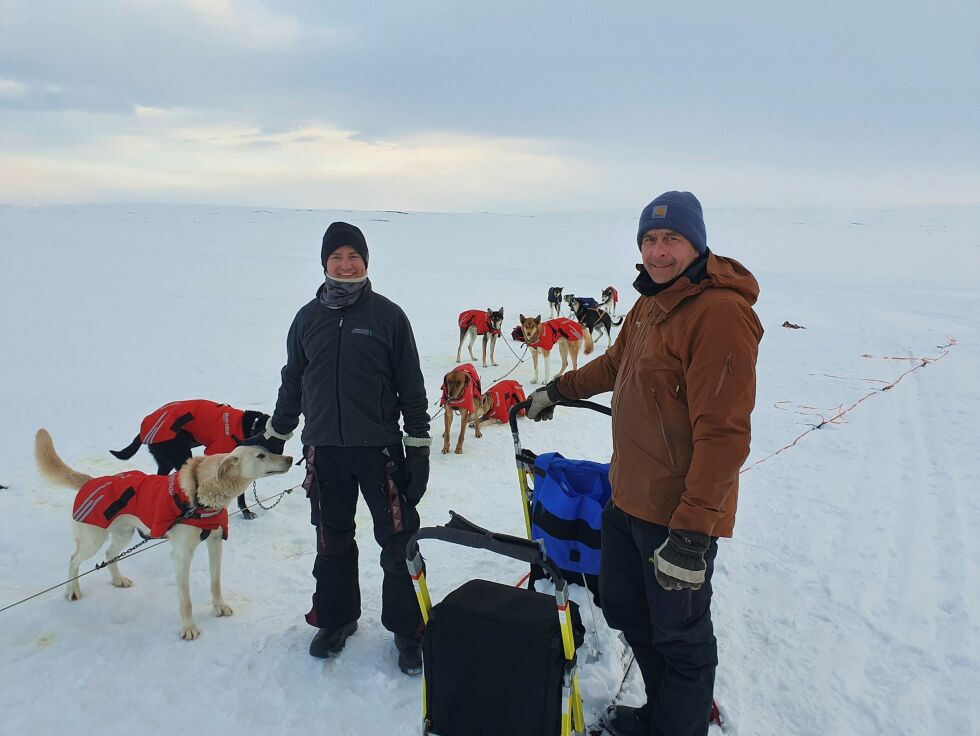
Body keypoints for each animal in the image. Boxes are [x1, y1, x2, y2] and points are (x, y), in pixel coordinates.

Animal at [35, 428, 294, 640]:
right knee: (74, 560)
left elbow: (216, 582)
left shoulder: (215, 543)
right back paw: (72, 590)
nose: (290, 458)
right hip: (92, 541)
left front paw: (219, 606)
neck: (199, 497)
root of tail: (91, 482)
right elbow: (186, 599)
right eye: (260, 456)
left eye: (267, 450)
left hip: (124, 535)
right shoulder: (181, 555)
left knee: (109, 554)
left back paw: (118, 580)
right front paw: (189, 627)